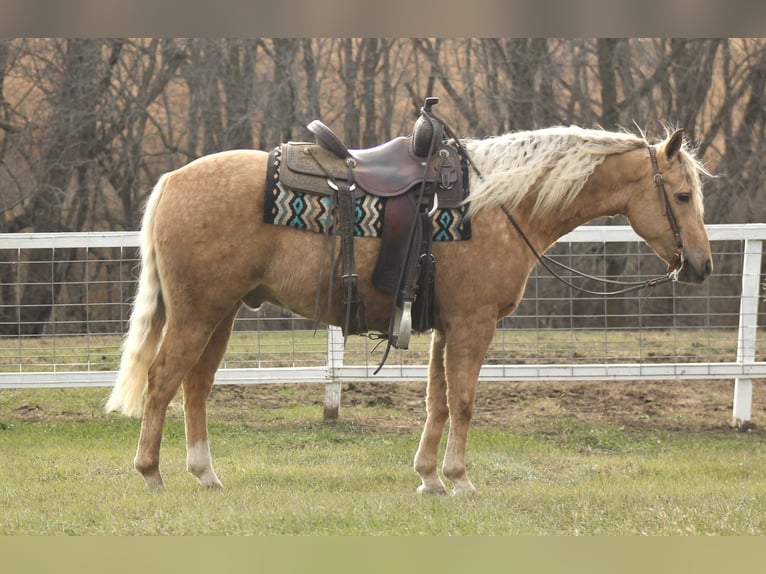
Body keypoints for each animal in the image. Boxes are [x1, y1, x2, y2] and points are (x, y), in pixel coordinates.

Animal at [103, 126, 712, 496]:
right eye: (682, 196)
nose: (701, 265)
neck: (496, 206)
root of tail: (172, 181)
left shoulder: (447, 327)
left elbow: (437, 403)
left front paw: (429, 478)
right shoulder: (473, 326)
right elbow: (463, 403)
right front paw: (460, 480)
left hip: (222, 313)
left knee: (196, 386)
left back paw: (205, 474)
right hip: (197, 312)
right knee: (163, 380)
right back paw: (151, 474)